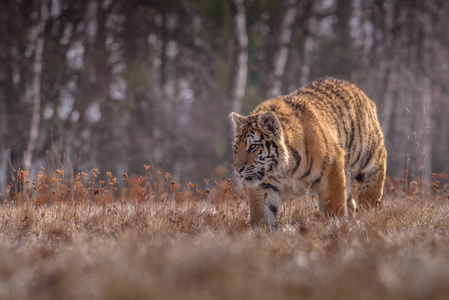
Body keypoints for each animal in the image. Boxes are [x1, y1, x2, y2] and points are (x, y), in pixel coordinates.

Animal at [231, 77, 384, 230]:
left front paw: (336, 227)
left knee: (379, 163)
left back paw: (368, 202)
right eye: (236, 148)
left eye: (253, 147)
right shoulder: (263, 186)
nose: (237, 169)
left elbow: (334, 207)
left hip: (364, 149)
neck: (284, 169)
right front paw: (259, 232)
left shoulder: (332, 168)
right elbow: (261, 215)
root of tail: (352, 85)